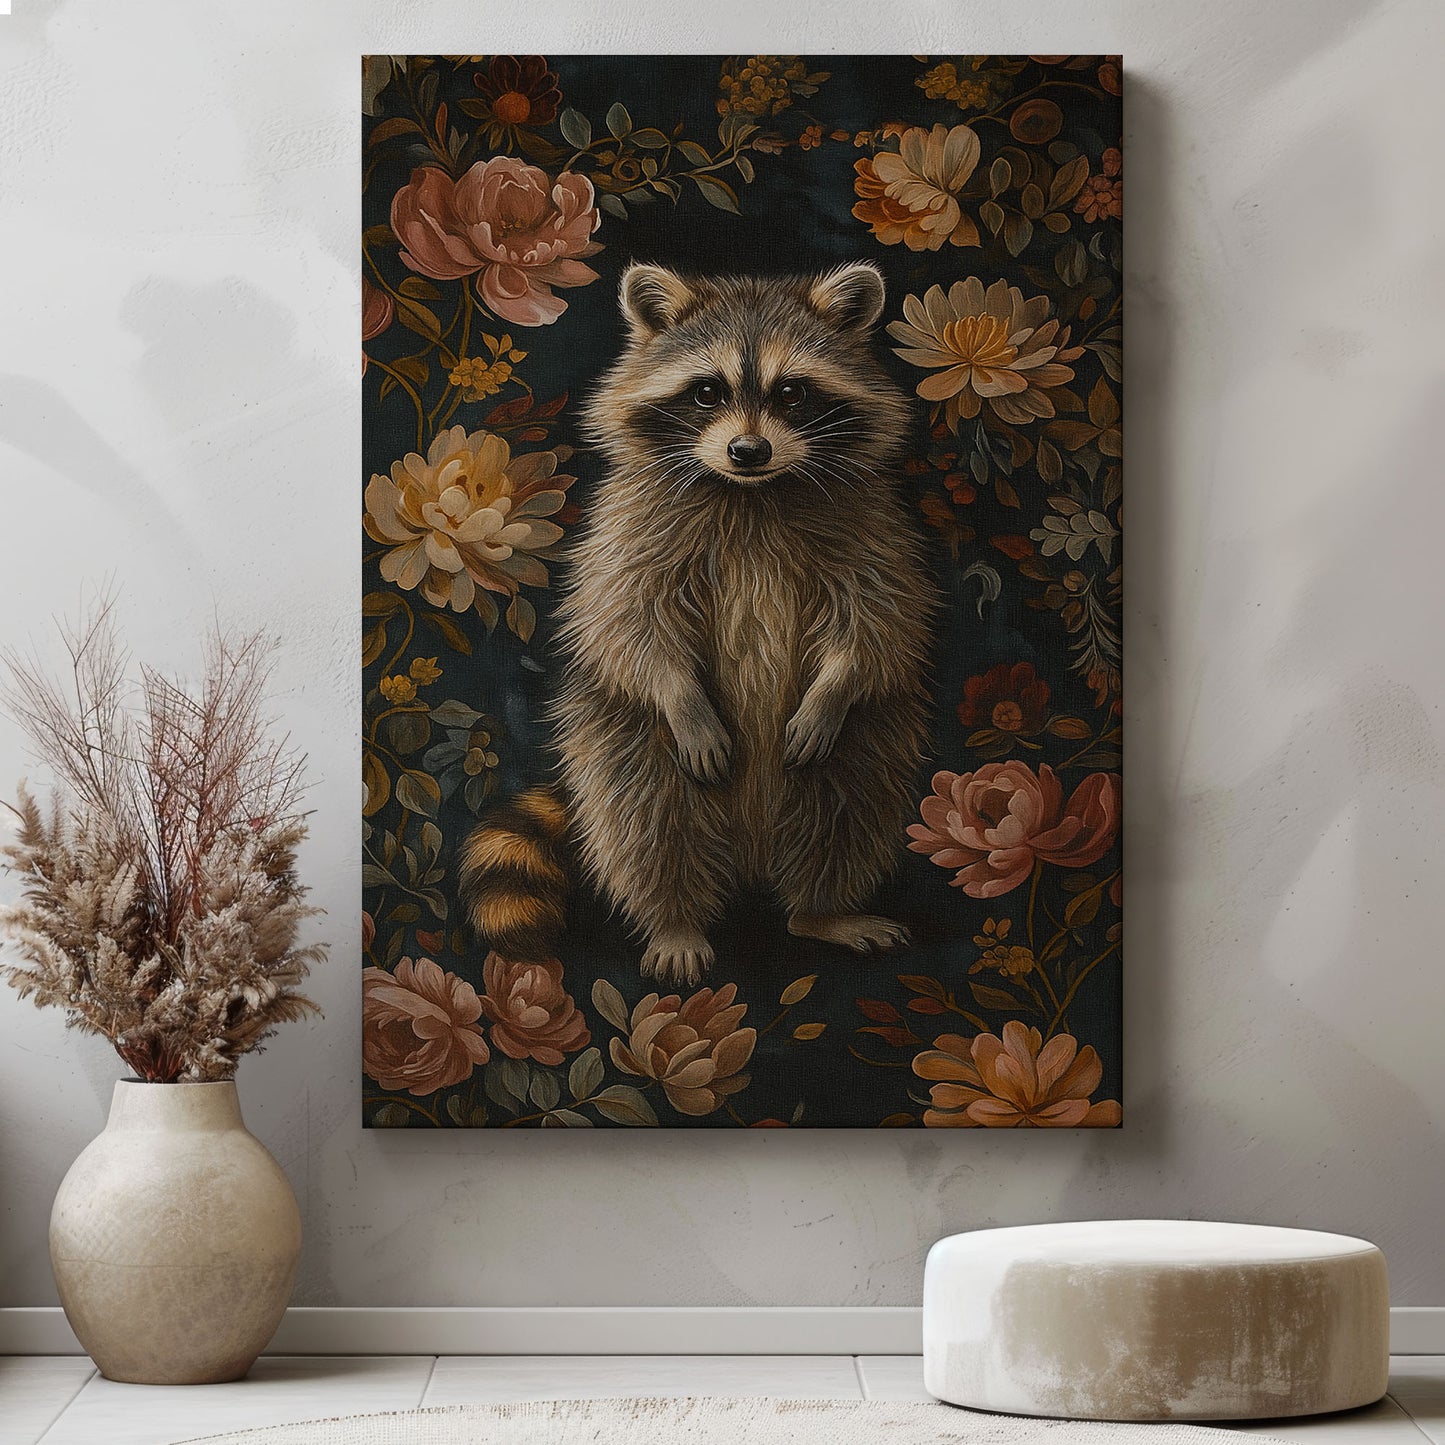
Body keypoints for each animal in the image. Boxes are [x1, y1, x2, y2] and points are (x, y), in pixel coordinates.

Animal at [460, 261, 936, 985]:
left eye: (791, 391)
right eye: (707, 391)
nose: (748, 449)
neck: (752, 492)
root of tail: (753, 852)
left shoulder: (871, 526)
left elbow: (876, 620)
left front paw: (832, 688)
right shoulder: (630, 529)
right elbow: (629, 620)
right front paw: (679, 694)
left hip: (867, 741)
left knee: (848, 807)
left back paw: (822, 909)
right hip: (625, 740)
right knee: (649, 820)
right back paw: (676, 920)